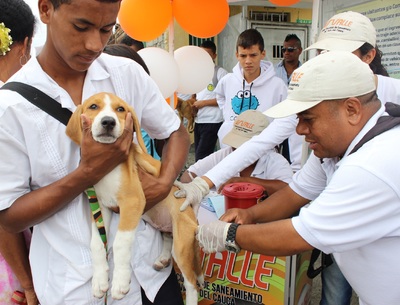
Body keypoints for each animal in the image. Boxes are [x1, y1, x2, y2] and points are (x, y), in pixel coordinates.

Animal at [66, 92, 203, 302]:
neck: (108, 166)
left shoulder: (133, 202)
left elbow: (121, 243)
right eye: (93, 107)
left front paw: (120, 283)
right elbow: (96, 243)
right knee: (167, 236)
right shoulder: (101, 206)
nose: (108, 122)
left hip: (182, 245)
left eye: (120, 109)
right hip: (168, 228)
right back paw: (163, 258)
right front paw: (99, 281)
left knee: (191, 283)